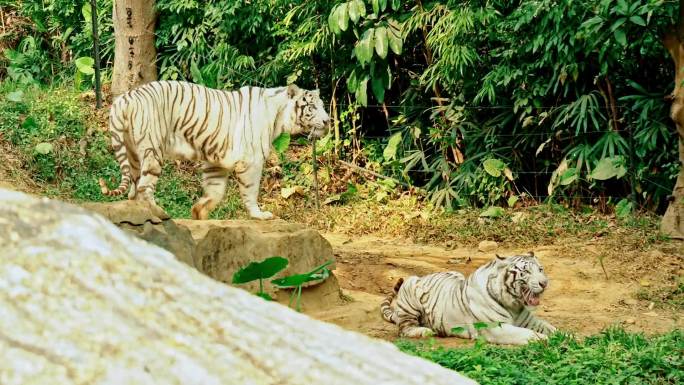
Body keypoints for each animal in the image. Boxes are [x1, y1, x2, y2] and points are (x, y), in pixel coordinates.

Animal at [99, 81, 332, 219]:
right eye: (312, 107)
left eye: (322, 105)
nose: (328, 121)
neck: (279, 116)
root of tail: (125, 98)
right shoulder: (252, 161)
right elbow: (251, 191)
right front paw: (259, 215)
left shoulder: (216, 161)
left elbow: (216, 191)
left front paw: (199, 213)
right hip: (152, 150)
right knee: (144, 187)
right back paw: (159, 212)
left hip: (131, 150)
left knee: (134, 185)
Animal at [380, 252, 556, 344]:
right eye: (526, 272)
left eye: (540, 269)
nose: (545, 283)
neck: (514, 304)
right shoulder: (497, 329)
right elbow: (529, 334)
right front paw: (547, 340)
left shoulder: (530, 321)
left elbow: (552, 328)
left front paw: (561, 336)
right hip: (410, 288)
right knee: (404, 329)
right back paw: (425, 331)